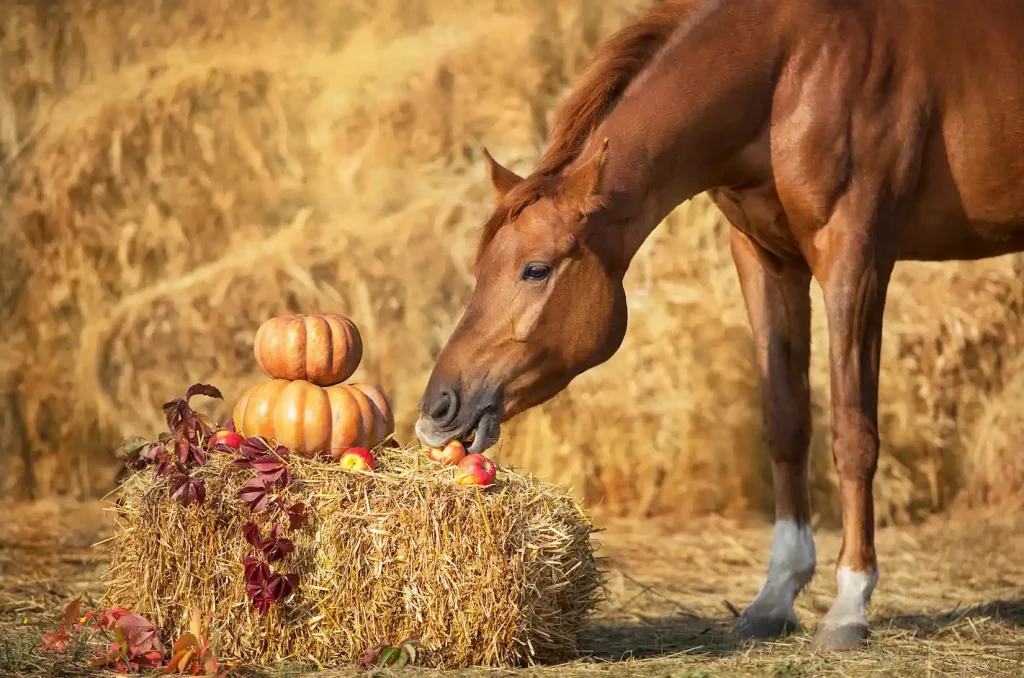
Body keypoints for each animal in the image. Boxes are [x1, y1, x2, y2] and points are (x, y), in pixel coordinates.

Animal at [411, 0, 1024, 655]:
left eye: (536, 269)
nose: (437, 409)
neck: (795, 67)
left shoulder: (854, 257)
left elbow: (853, 433)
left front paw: (849, 605)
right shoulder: (764, 257)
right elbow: (786, 423)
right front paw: (775, 597)